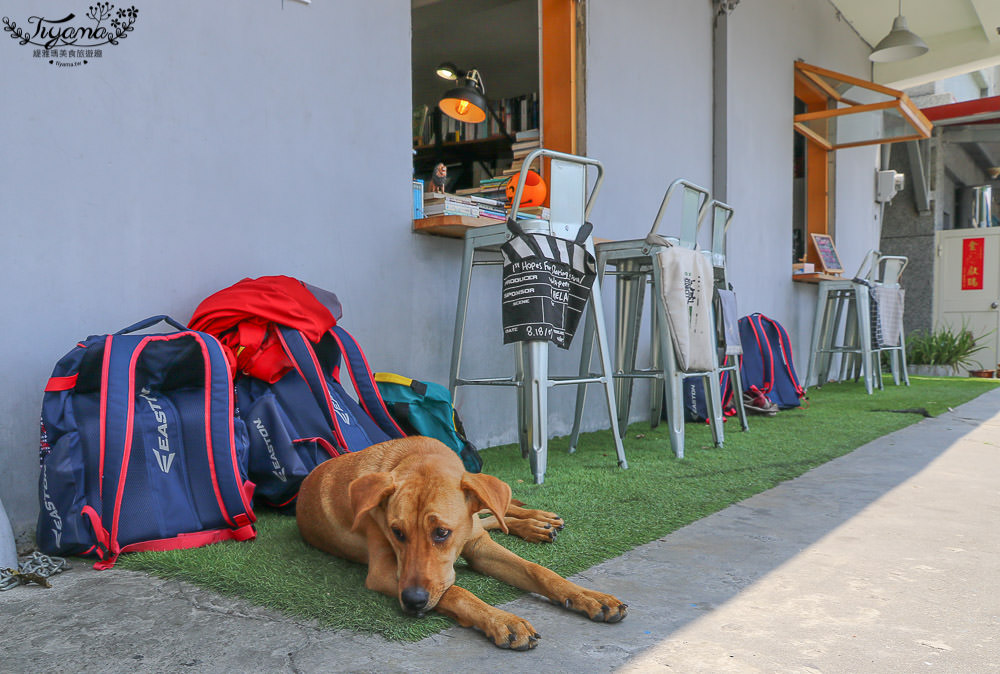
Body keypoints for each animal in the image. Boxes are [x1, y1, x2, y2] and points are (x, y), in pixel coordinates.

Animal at [292, 434, 628, 648]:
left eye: (442, 532)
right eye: (397, 532)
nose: (412, 601)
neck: (416, 456)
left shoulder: (477, 544)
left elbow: (537, 570)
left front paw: (588, 596)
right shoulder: (385, 573)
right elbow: (456, 592)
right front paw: (501, 620)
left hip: (483, 507)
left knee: (501, 510)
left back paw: (538, 520)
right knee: (496, 518)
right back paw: (535, 525)